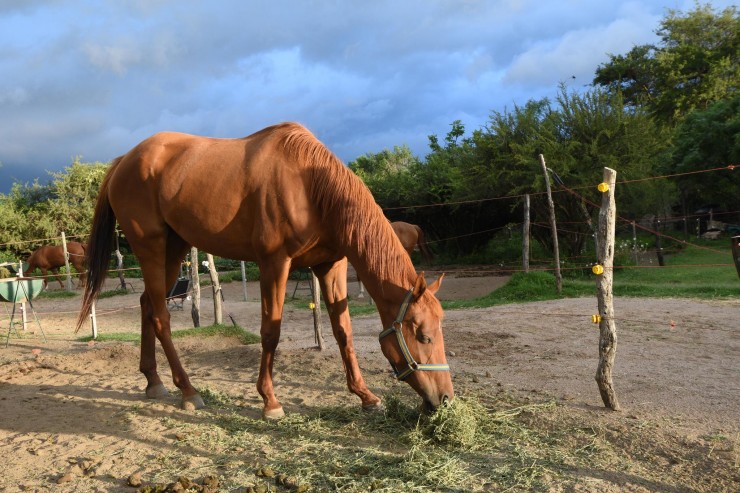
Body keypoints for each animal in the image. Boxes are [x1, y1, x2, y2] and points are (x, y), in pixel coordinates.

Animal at [78, 122, 454, 416]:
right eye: (423, 335)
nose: (446, 398)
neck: (310, 187)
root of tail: (124, 161)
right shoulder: (275, 263)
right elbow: (270, 331)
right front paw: (270, 401)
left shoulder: (330, 265)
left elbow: (343, 331)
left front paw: (366, 395)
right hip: (152, 248)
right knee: (161, 317)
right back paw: (188, 390)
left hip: (174, 249)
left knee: (146, 305)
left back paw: (153, 382)